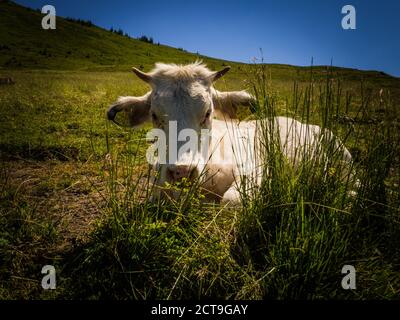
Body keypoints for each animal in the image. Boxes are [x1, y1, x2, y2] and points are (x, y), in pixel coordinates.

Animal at [107, 61, 354, 204]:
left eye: (208, 113)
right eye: (155, 115)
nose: (182, 172)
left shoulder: (254, 170)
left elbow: (231, 200)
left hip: (342, 157)